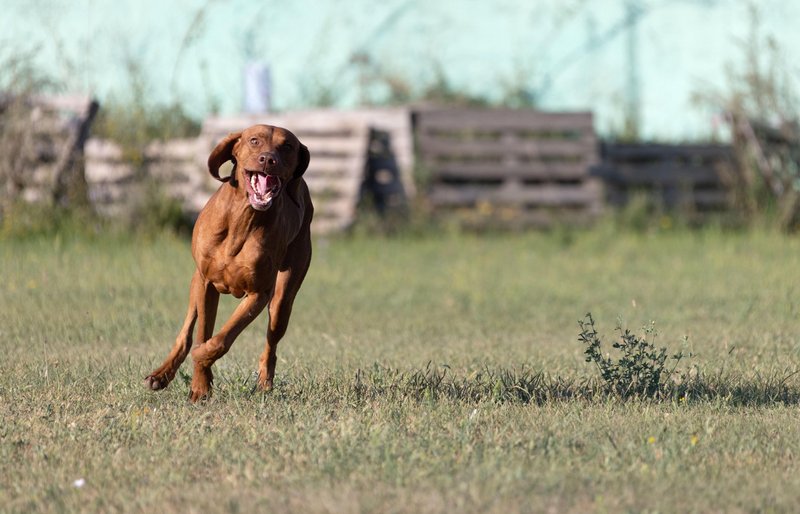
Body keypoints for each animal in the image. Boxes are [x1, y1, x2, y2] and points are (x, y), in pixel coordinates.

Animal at [146, 125, 312, 400]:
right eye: (254, 141)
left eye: (287, 146)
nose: (268, 159)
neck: (243, 219)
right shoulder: (206, 284)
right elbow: (202, 332)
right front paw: (201, 386)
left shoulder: (258, 294)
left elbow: (221, 340)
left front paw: (202, 366)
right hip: (195, 282)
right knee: (187, 331)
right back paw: (162, 374)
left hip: (283, 298)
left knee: (272, 341)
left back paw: (265, 382)